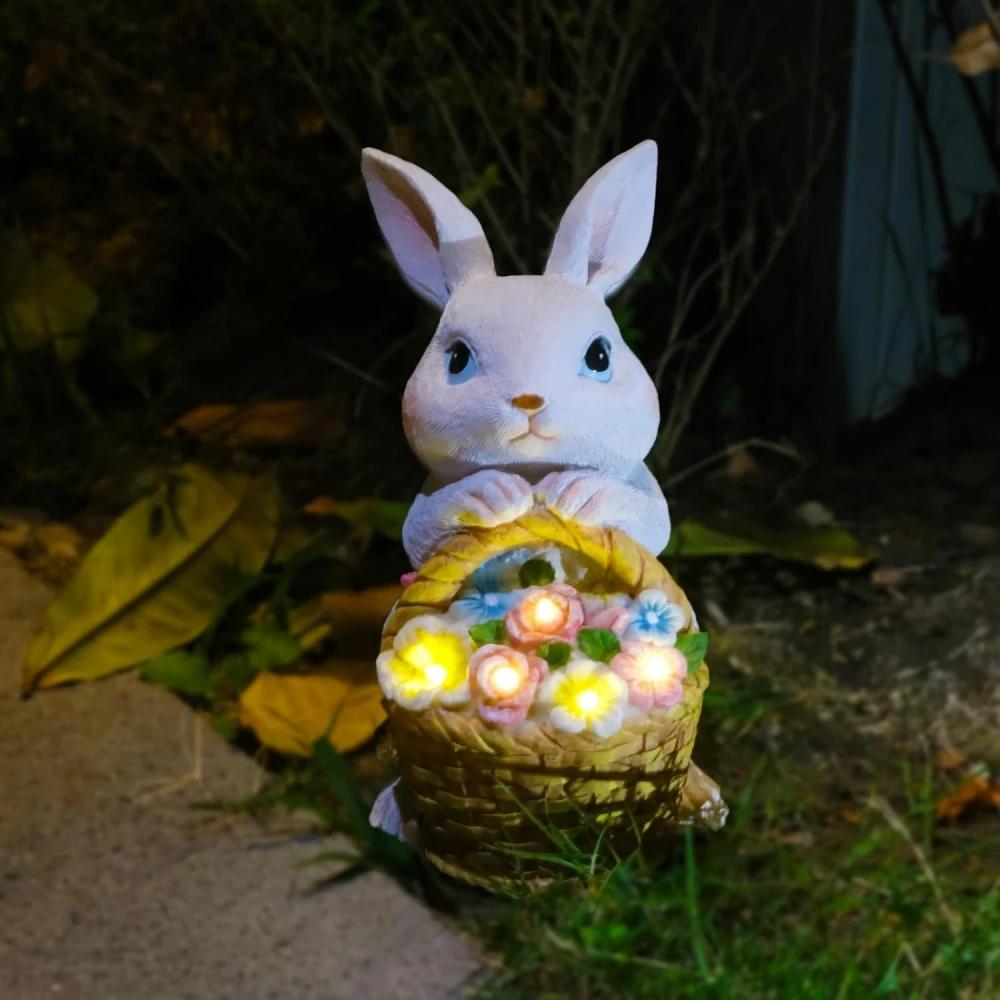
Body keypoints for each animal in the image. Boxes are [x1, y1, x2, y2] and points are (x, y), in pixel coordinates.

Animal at [361, 139, 670, 569]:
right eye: (457, 360)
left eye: (599, 357)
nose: (529, 400)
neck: (534, 468)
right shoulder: (426, 502)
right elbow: (419, 528)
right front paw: (490, 495)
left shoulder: (644, 493)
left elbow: (654, 519)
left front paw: (579, 494)